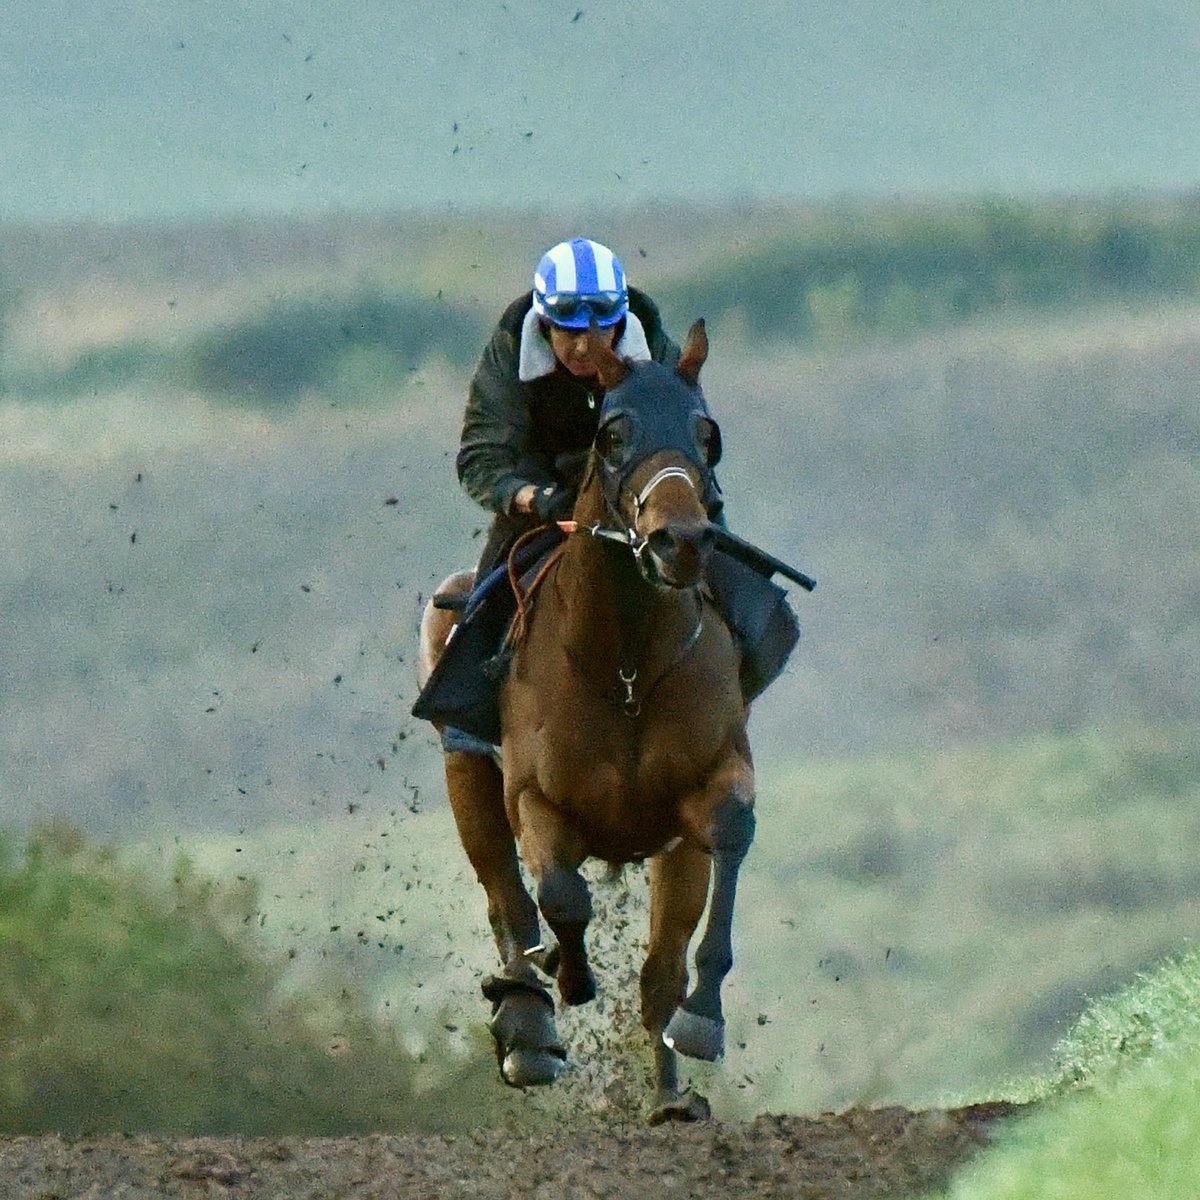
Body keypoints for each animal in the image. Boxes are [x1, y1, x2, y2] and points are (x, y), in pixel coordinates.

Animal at [422, 321, 753, 1123]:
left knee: (659, 969)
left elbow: (729, 835)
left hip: (673, 854)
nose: (680, 540)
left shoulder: (710, 780)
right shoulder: (537, 797)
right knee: (506, 899)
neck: (624, 662)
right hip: (464, 759)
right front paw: (566, 979)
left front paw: (704, 1018)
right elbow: (559, 896)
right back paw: (527, 1023)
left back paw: (669, 1096)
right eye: (613, 433)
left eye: (706, 432)